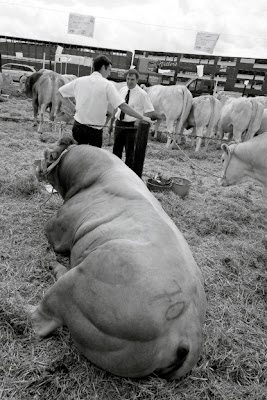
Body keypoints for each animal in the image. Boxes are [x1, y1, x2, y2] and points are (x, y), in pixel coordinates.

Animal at [33, 136, 207, 380]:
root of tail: (188, 328)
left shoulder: (58, 229)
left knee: (42, 319)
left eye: (49, 154)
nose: (36, 166)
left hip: (86, 278)